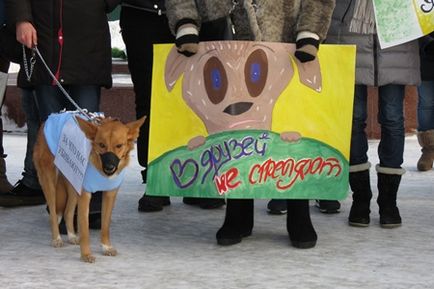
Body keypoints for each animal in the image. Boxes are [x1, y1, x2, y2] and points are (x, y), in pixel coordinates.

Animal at [34, 112, 145, 260]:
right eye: (101, 144)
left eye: (119, 145)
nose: (109, 167)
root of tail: (50, 118)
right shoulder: (85, 195)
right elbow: (84, 229)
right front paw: (86, 254)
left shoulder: (109, 194)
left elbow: (105, 226)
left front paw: (106, 247)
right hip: (50, 182)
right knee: (53, 214)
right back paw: (57, 238)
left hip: (74, 182)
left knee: (68, 212)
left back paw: (71, 236)